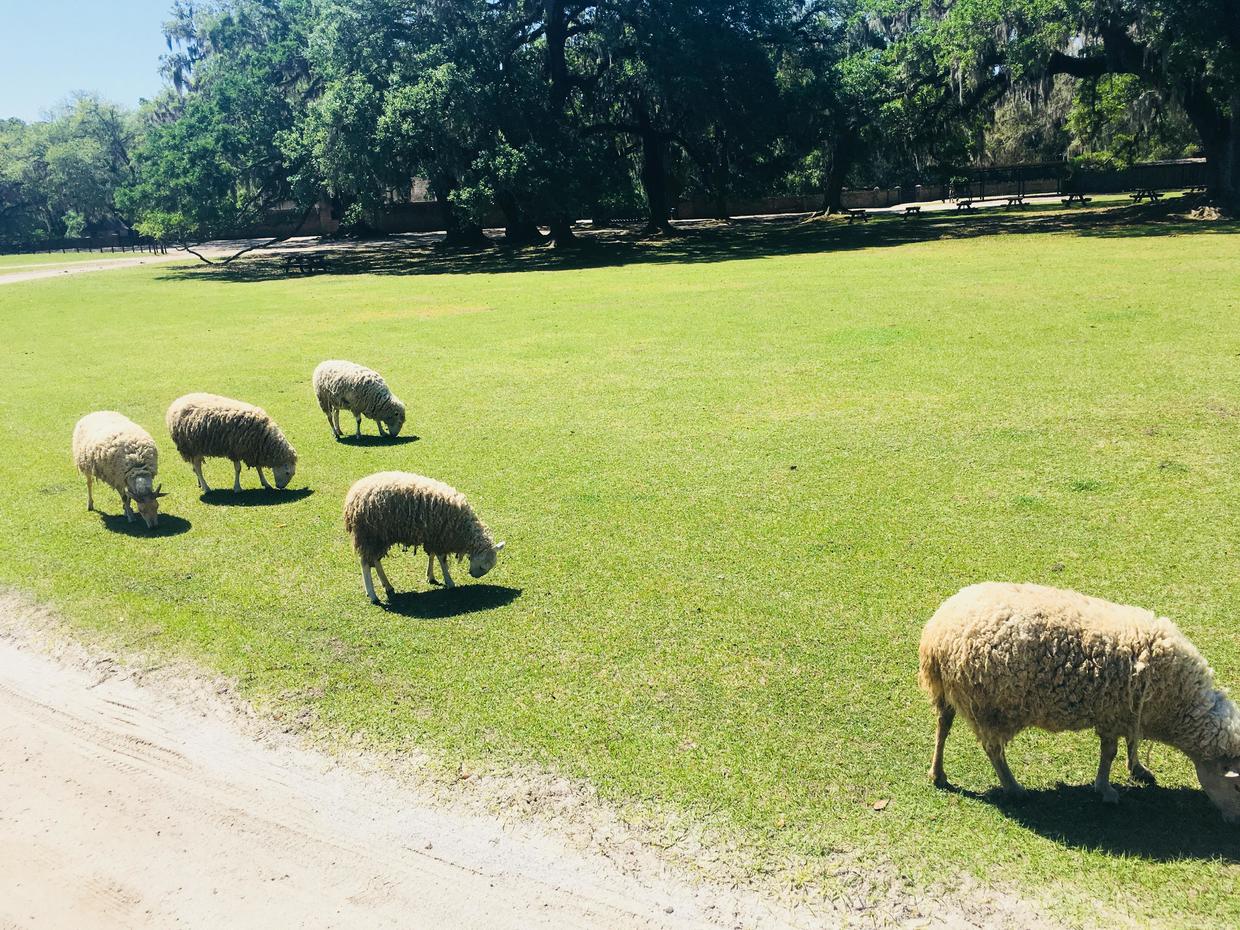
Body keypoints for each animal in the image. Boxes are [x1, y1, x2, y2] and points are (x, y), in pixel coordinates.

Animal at [166, 394, 298, 496]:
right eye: (287, 472)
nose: (280, 487)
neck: (264, 437)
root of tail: (175, 404)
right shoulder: (236, 450)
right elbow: (238, 469)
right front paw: (237, 488)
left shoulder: (253, 450)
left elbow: (258, 467)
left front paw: (266, 483)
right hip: (192, 447)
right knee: (198, 468)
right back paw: (206, 488)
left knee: (195, 467)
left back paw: (200, 484)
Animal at [339, 473, 503, 605]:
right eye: (482, 566)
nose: (473, 575)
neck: (463, 528)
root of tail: (351, 499)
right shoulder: (440, 535)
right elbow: (442, 559)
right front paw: (449, 581)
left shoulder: (433, 535)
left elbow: (432, 555)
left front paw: (430, 576)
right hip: (369, 535)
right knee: (366, 564)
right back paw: (373, 595)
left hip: (379, 537)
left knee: (375, 561)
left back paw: (388, 586)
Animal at [917, 582, 1240, 823]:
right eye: (1236, 785)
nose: (1233, 822)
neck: (1177, 704)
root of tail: (937, 633)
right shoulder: (1114, 713)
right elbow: (1109, 752)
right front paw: (1106, 789)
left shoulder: (1129, 711)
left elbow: (1131, 743)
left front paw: (1137, 769)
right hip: (991, 707)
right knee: (993, 750)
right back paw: (1013, 787)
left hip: (948, 694)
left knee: (943, 726)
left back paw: (937, 773)